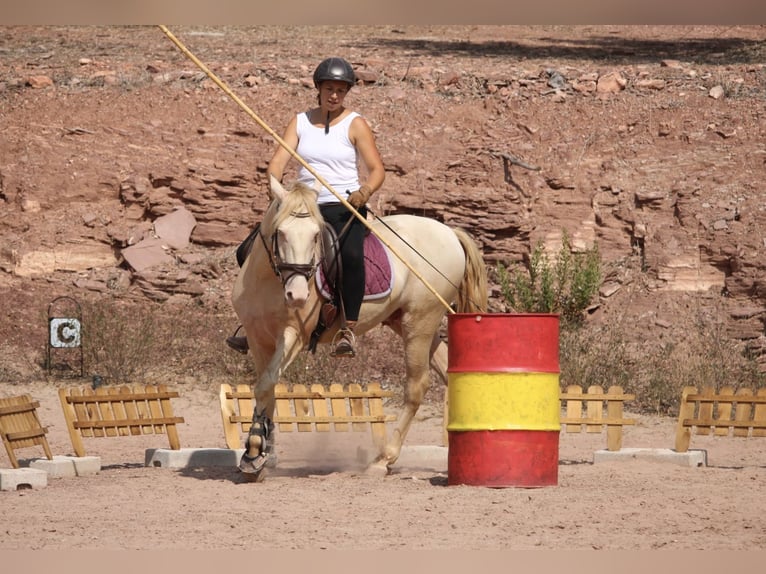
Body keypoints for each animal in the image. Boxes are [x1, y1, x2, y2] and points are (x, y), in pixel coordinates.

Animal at [231, 176, 488, 482]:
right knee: (448, 370)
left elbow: (266, 385)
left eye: (316, 236)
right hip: (405, 321)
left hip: (420, 320)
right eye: (280, 233)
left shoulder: (294, 335)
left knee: (416, 386)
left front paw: (255, 452)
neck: (268, 280)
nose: (298, 295)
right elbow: (265, 390)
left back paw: (383, 460)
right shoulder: (258, 337)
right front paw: (262, 454)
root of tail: (449, 232)